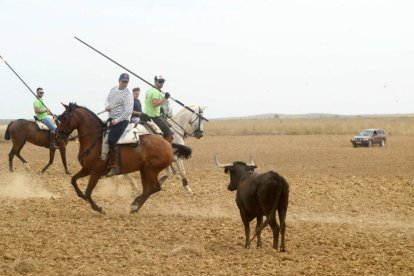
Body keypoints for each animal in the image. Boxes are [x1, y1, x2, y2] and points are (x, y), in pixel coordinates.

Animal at [57, 103, 192, 213]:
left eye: (64, 118)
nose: (58, 137)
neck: (95, 140)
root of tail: (168, 144)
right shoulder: (87, 169)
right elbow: (73, 180)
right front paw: (81, 195)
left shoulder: (96, 172)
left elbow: (88, 192)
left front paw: (99, 208)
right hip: (145, 170)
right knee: (150, 189)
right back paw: (135, 205)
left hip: (150, 170)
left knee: (153, 188)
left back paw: (134, 206)